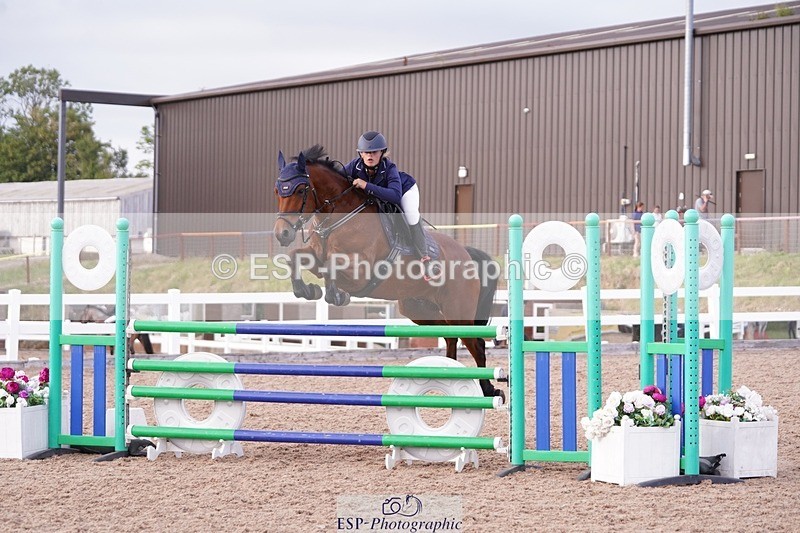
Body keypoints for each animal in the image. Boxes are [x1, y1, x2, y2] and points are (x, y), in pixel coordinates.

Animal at [272, 145, 502, 398]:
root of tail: (466, 254)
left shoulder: (360, 269)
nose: (282, 234)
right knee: (450, 336)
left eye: (301, 189)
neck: (337, 218)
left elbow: (332, 266)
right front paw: (306, 290)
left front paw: (336, 295)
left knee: (476, 344)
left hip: (457, 311)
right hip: (419, 309)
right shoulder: (315, 255)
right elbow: (295, 257)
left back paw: (488, 389)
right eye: (277, 191)